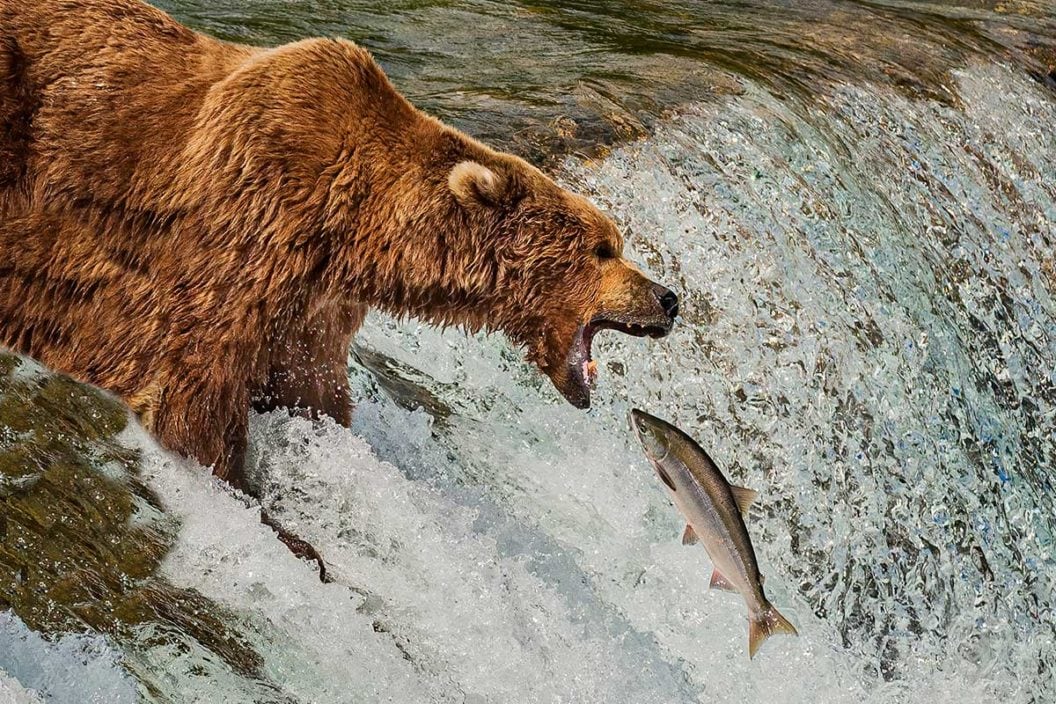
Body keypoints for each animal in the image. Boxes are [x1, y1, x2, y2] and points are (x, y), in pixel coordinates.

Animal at [0, 0, 675, 493]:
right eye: (604, 248)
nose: (668, 298)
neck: (354, 229)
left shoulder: (310, 311)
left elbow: (313, 395)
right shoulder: (246, 230)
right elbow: (191, 396)